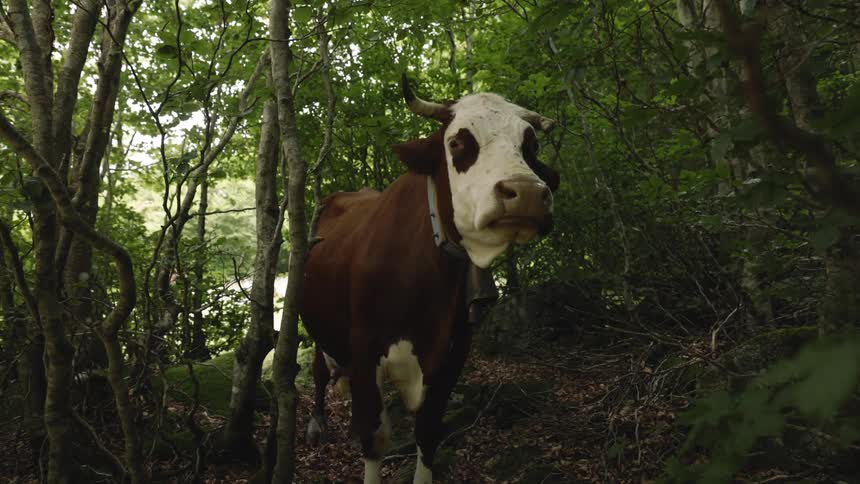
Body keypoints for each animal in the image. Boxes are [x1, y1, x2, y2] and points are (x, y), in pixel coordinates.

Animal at [299, 75, 560, 484]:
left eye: (529, 146)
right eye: (457, 143)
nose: (528, 194)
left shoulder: (453, 353)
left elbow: (428, 431)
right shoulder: (363, 350)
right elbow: (374, 436)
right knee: (318, 370)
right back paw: (317, 423)